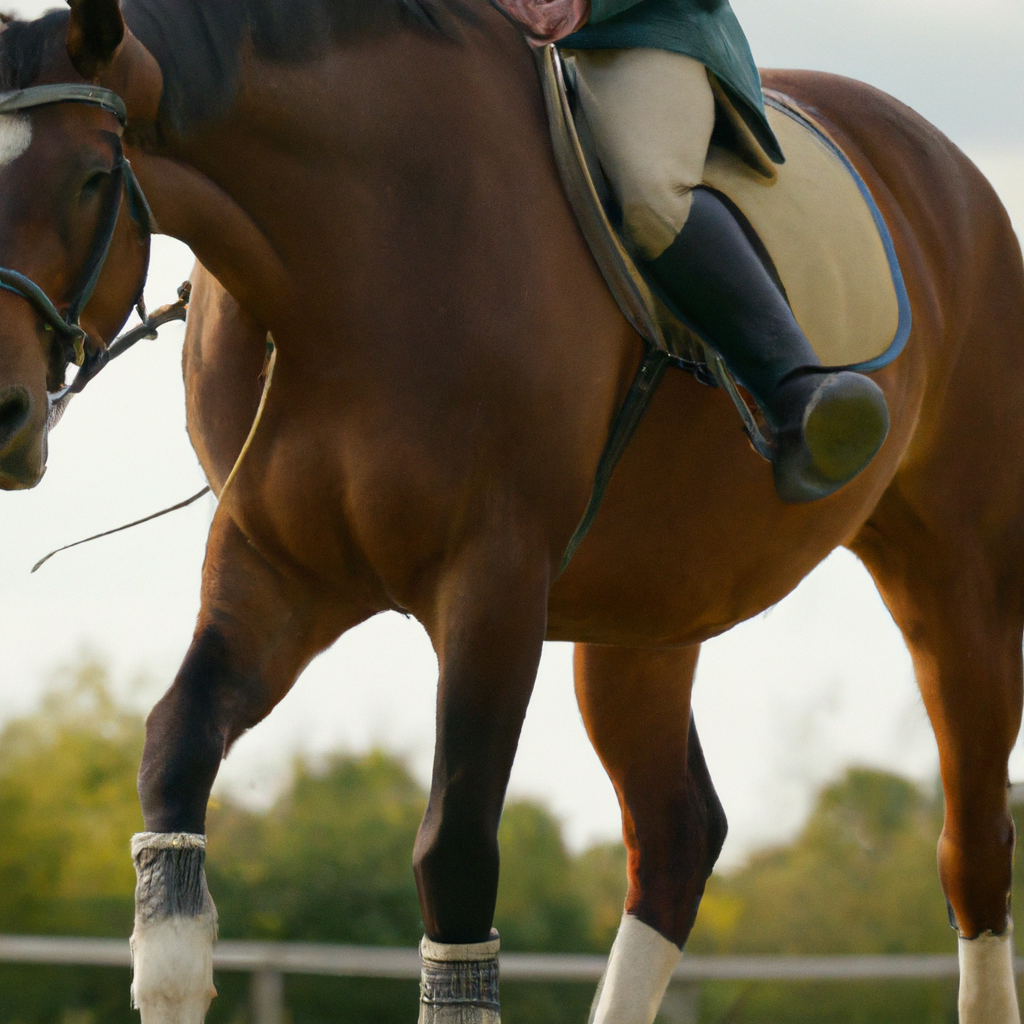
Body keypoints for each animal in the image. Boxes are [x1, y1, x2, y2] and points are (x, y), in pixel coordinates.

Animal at [0, 0, 1019, 1019]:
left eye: (93, 178)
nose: (5, 412)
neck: (351, 254)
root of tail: (950, 167)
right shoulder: (274, 572)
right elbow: (172, 768)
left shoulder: (494, 583)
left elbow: (453, 859)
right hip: (644, 618)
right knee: (676, 837)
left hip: (958, 588)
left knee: (973, 851)